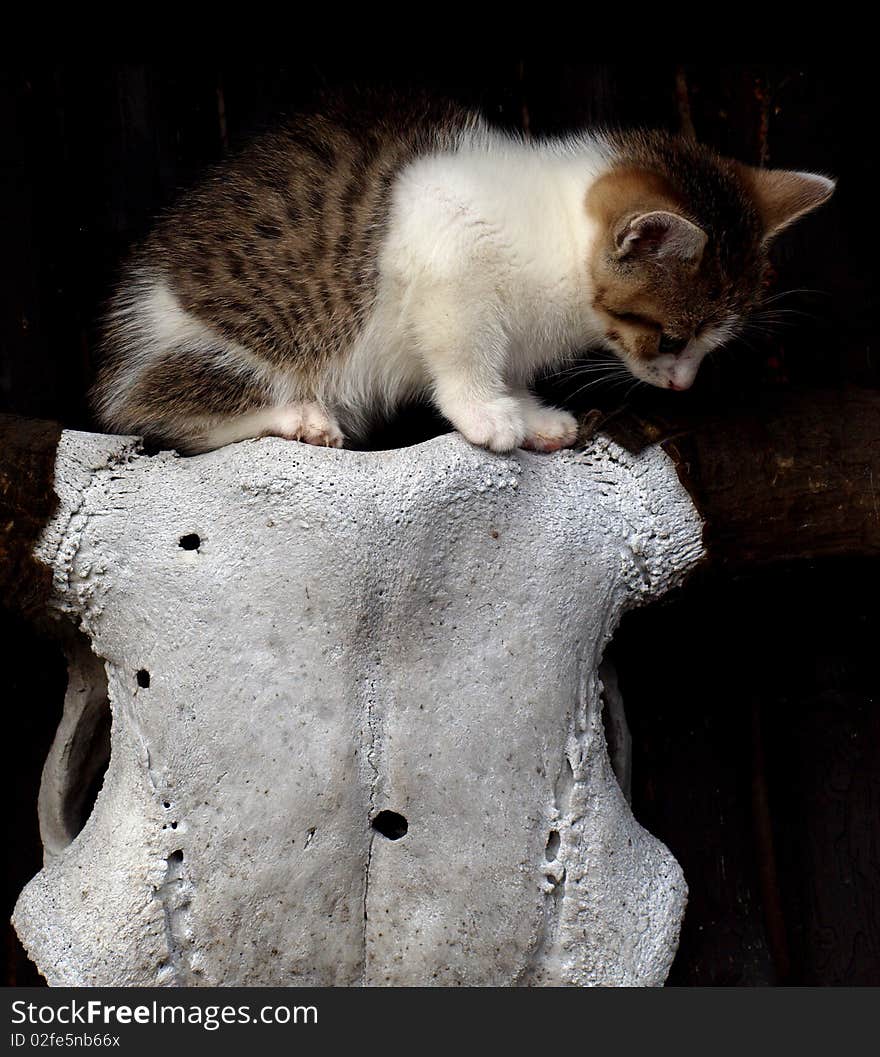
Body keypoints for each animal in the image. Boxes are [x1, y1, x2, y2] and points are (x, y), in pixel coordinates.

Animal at [92, 99, 832, 458]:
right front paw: (485, 413)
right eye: (669, 337)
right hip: (238, 344)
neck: (557, 229)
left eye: (711, 342)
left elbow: (509, 365)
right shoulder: (442, 249)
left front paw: (529, 412)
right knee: (154, 415)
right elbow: (463, 350)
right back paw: (296, 416)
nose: (683, 386)